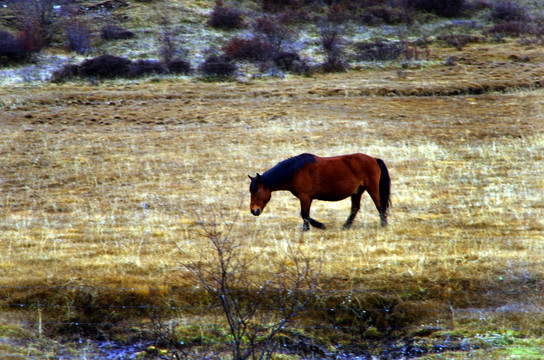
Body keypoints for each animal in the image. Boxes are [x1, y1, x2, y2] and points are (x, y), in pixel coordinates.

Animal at [249, 152, 388, 231]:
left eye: (257, 191)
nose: (254, 211)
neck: (294, 172)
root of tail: (374, 159)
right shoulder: (308, 198)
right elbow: (306, 214)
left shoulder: (305, 196)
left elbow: (304, 214)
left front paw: (316, 226)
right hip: (357, 191)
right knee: (355, 208)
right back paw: (346, 226)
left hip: (371, 188)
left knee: (379, 205)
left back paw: (383, 225)